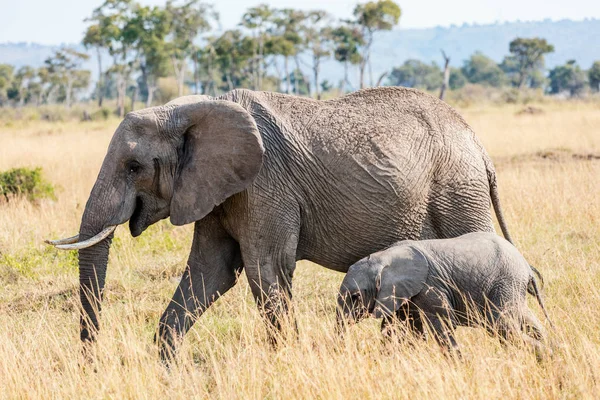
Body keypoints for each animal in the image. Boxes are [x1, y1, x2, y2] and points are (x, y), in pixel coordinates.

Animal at [48, 86, 516, 360]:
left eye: (134, 167)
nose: (91, 365)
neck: (189, 109)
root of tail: (479, 145)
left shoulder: (264, 185)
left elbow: (265, 269)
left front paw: (285, 361)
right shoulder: (218, 191)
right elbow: (211, 272)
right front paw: (168, 371)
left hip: (458, 191)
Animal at [336, 231, 552, 356]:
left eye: (355, 297)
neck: (383, 256)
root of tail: (526, 265)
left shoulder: (430, 286)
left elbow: (444, 324)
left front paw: (459, 363)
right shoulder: (404, 293)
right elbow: (399, 326)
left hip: (505, 281)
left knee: (501, 326)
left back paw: (547, 354)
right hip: (511, 285)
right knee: (527, 320)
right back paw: (552, 350)